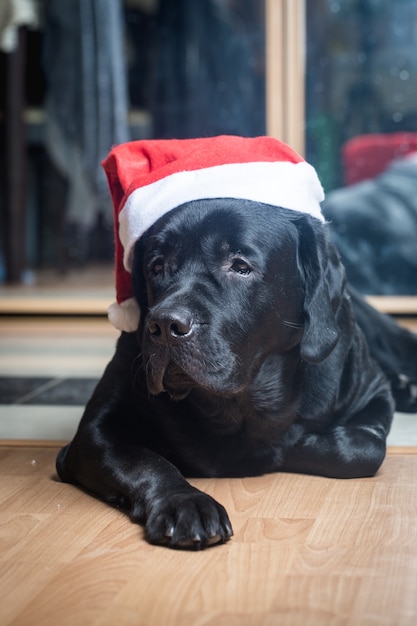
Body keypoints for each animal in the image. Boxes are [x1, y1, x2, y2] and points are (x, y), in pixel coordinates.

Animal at [55, 196, 416, 552]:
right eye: (156, 266)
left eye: (240, 266)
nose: (165, 325)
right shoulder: (94, 432)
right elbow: (147, 462)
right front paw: (184, 502)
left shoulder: (371, 391)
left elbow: (363, 449)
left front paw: (284, 447)